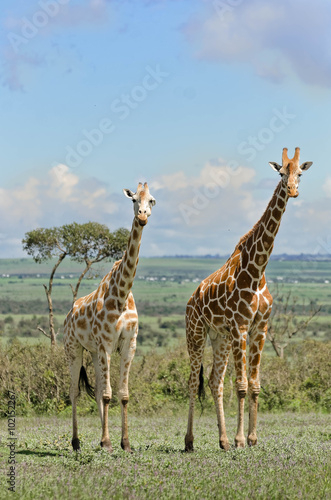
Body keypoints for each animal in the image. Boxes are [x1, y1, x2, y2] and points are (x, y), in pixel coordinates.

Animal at [64, 183, 156, 454]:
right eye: (133, 199)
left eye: (152, 200)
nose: (142, 216)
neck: (122, 295)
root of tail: (68, 315)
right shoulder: (105, 343)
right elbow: (107, 394)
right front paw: (107, 442)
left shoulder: (128, 343)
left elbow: (122, 394)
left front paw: (124, 443)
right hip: (73, 348)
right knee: (74, 392)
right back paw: (76, 442)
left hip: (93, 352)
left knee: (95, 392)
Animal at [184, 146, 314, 452]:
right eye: (281, 173)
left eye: (300, 173)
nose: (292, 191)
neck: (257, 271)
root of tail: (190, 301)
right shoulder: (240, 327)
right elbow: (241, 385)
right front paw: (241, 439)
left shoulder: (259, 328)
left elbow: (254, 384)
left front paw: (252, 438)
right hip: (196, 333)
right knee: (193, 381)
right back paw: (190, 441)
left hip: (219, 337)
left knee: (214, 381)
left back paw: (222, 440)